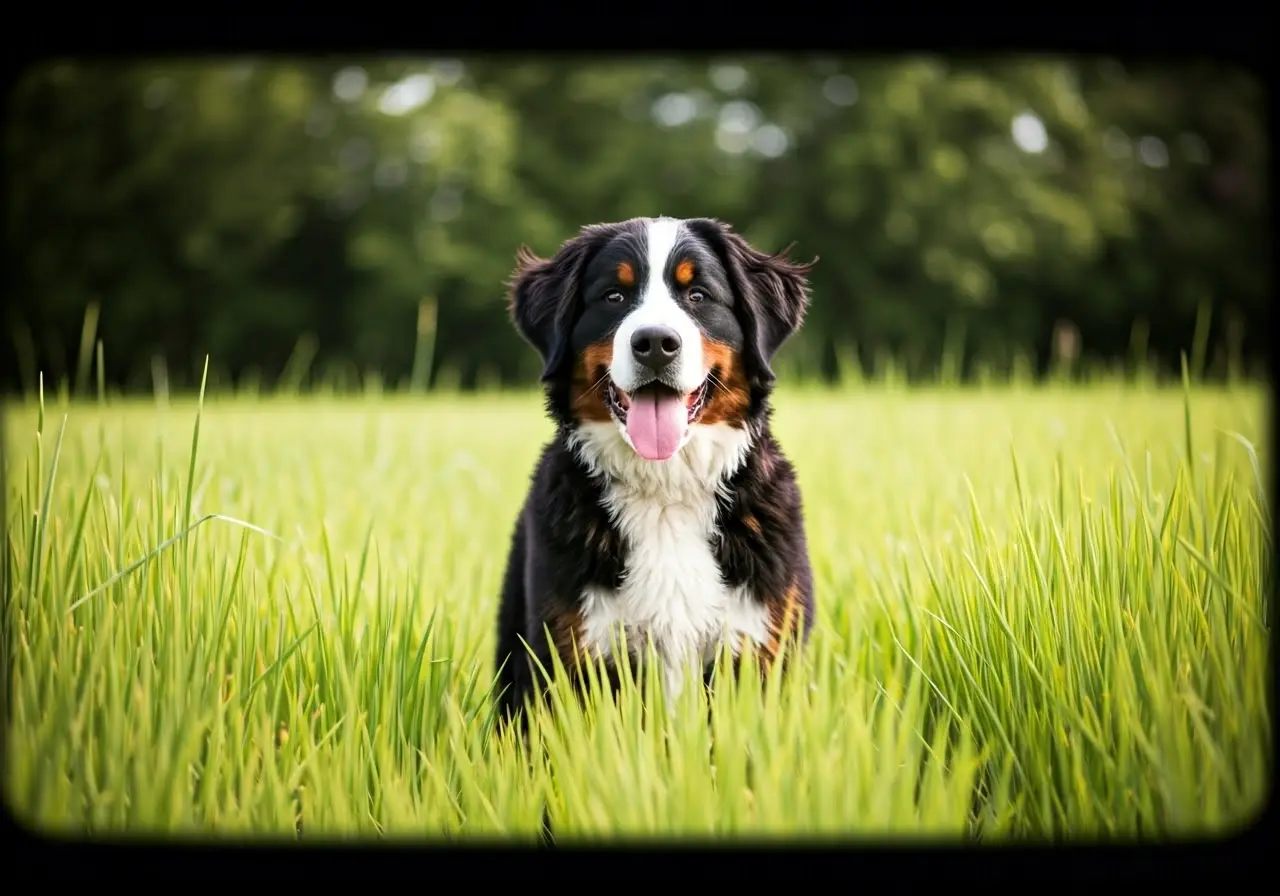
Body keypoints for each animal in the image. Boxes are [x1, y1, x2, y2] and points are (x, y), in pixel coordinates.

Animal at [494, 215, 814, 727]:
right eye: (614, 296)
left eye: (698, 295)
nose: (656, 344)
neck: (667, 491)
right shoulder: (573, 656)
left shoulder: (761, 647)